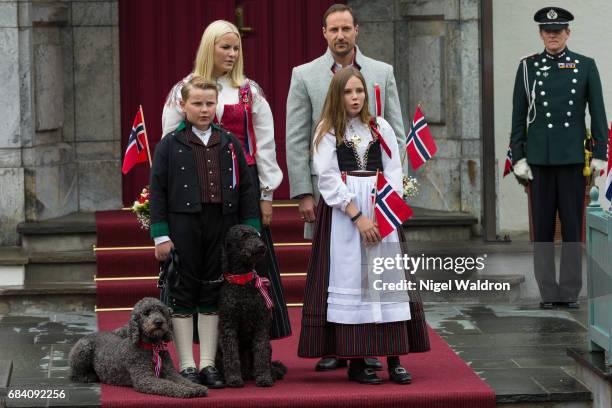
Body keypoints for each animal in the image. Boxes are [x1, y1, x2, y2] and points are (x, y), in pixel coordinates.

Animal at [68, 296, 208, 398]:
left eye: (161, 311)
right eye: (146, 313)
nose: (159, 322)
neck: (151, 347)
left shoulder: (170, 373)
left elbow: (182, 380)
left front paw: (196, 386)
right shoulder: (145, 378)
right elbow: (168, 385)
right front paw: (186, 391)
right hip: (83, 348)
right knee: (74, 374)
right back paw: (88, 376)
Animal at [218, 225, 286, 388]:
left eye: (257, 235)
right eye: (244, 236)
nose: (261, 246)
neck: (243, 282)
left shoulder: (261, 324)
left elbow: (261, 352)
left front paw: (264, 378)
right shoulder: (228, 326)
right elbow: (231, 355)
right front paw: (234, 379)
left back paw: (270, 373)